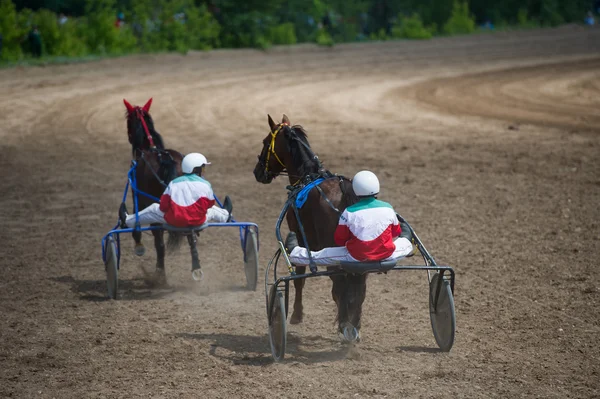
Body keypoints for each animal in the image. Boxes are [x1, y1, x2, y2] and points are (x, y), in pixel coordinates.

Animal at [123, 98, 184, 278]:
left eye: (128, 122)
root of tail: (167, 159)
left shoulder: (137, 195)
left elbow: (136, 226)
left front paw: (139, 246)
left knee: (159, 243)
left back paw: (160, 274)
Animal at [253, 114, 366, 340]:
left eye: (265, 142)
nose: (257, 171)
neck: (308, 177)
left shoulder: (299, 235)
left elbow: (299, 278)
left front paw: (296, 315)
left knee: (339, 283)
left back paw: (345, 325)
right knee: (359, 285)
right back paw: (354, 325)